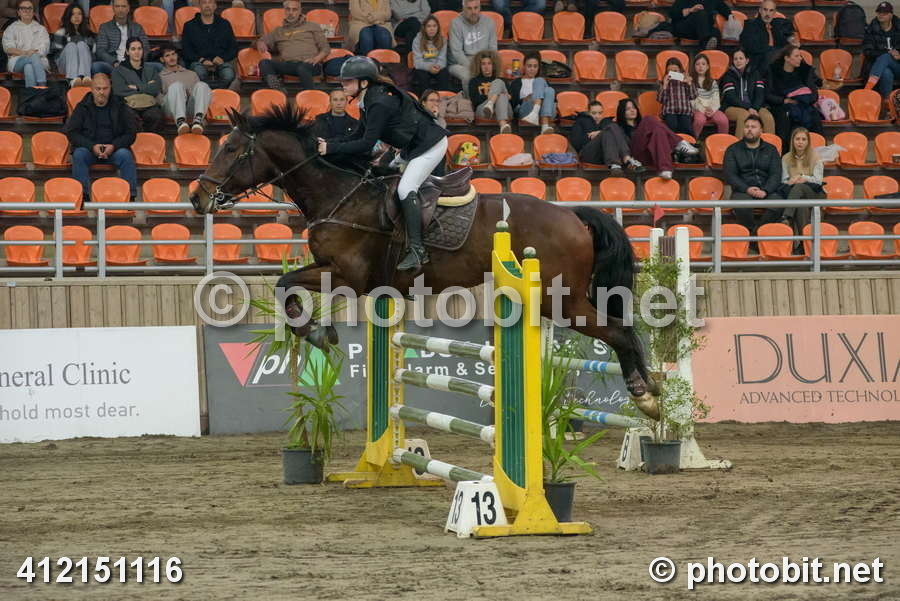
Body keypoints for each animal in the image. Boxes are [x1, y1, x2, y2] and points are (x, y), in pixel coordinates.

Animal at [190, 105, 659, 418]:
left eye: (231, 149)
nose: (197, 198)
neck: (339, 196)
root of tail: (572, 215)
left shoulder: (347, 276)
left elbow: (285, 286)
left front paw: (318, 334)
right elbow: (284, 285)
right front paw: (320, 332)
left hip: (558, 300)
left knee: (620, 332)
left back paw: (647, 396)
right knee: (622, 330)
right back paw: (652, 393)